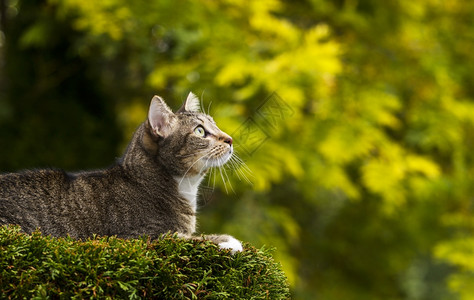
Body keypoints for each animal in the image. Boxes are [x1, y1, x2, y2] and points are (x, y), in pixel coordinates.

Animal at [0, 93, 243, 253]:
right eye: (200, 131)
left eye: (215, 125)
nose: (230, 139)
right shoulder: (138, 237)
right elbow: (183, 239)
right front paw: (227, 241)